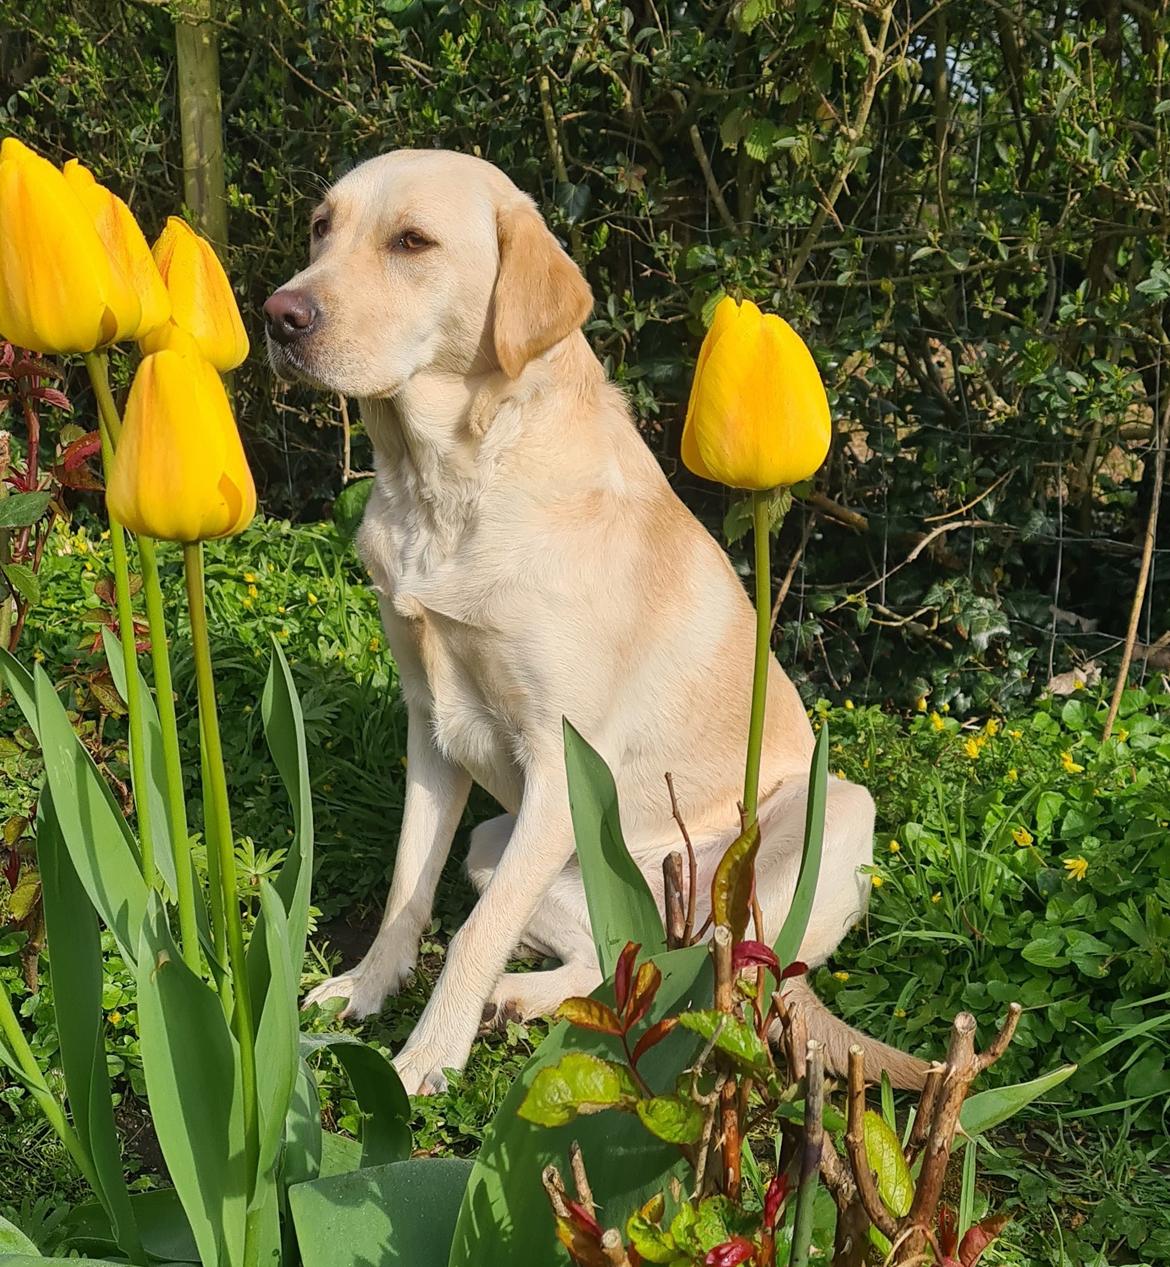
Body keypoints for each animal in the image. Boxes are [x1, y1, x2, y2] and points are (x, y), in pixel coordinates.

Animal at [264, 150, 922, 1099]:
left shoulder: (559, 755)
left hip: (827, 815)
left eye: (412, 241)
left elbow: (470, 932)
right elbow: (406, 888)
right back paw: (520, 998)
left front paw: (426, 1054)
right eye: (322, 226)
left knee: (700, 971)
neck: (449, 483)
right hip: (501, 846)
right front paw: (367, 988)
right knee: (612, 953)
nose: (278, 314)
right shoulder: (431, 731)